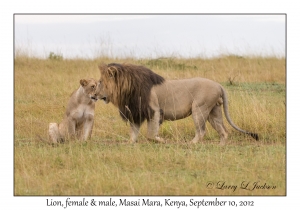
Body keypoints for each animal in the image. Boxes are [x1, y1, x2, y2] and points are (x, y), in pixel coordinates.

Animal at [94, 62, 258, 144]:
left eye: (101, 82)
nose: (94, 95)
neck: (127, 90)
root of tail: (219, 85)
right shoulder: (137, 112)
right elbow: (133, 133)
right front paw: (130, 143)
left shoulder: (154, 110)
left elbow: (150, 134)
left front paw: (161, 140)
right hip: (214, 111)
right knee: (223, 132)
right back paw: (220, 147)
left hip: (199, 108)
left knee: (201, 131)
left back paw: (191, 144)